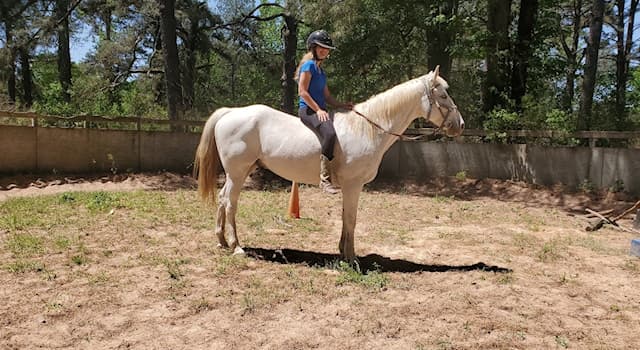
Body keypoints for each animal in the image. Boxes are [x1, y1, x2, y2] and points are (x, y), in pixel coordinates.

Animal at [195, 66, 464, 262]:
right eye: (442, 95)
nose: (459, 125)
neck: (367, 128)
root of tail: (230, 112)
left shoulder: (349, 187)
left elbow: (346, 217)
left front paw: (343, 251)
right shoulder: (354, 185)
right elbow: (352, 218)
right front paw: (352, 258)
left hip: (239, 172)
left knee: (222, 199)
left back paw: (221, 241)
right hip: (237, 173)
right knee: (230, 203)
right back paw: (236, 246)